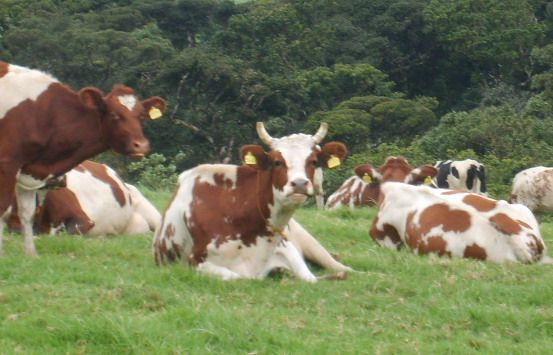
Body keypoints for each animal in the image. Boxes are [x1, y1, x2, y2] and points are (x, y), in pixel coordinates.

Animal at [0, 61, 166, 256]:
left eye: (141, 116)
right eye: (114, 114)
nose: (141, 145)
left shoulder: (28, 167)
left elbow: (27, 213)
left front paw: (31, 255)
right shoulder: (8, 163)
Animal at [153, 124, 348, 282]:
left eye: (313, 161)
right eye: (277, 162)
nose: (299, 184)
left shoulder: (288, 251)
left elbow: (312, 278)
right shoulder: (195, 261)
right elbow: (235, 276)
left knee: (340, 267)